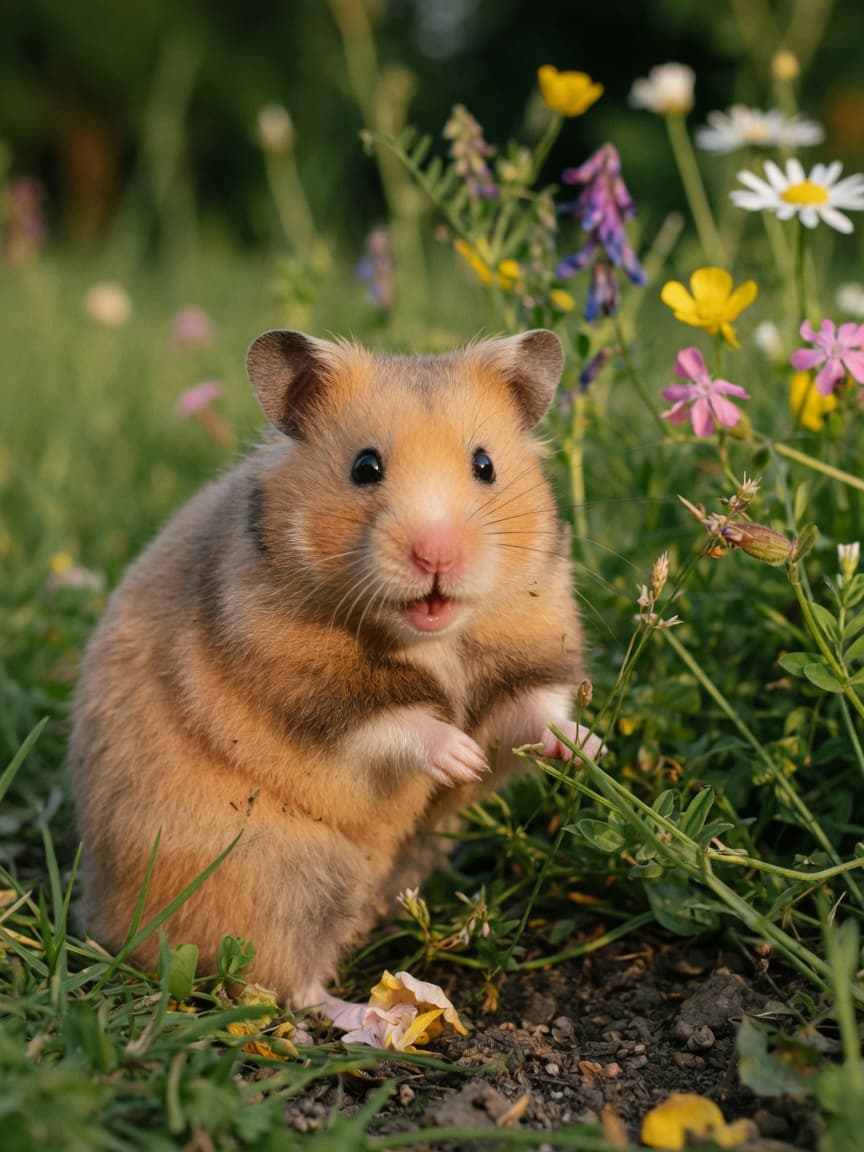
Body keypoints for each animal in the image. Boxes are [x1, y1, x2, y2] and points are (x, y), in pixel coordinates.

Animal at [68, 327, 597, 1026]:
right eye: (364, 467)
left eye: (485, 465)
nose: (437, 555)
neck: (432, 639)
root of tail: (103, 920)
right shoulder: (307, 687)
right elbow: (394, 723)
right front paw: (460, 758)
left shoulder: (529, 647)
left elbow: (537, 711)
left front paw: (589, 752)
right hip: (281, 883)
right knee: (286, 984)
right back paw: (377, 1017)